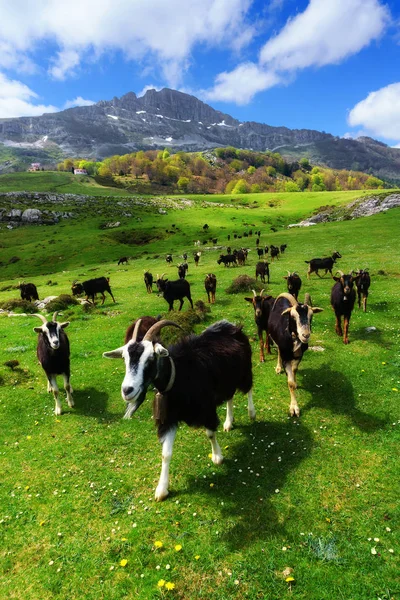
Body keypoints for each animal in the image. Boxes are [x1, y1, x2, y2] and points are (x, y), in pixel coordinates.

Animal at [102, 318, 253, 502]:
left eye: (151, 358)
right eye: (125, 358)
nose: (127, 390)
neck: (178, 376)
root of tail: (230, 325)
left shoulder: (207, 409)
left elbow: (210, 434)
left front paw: (217, 457)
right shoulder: (168, 419)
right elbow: (165, 453)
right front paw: (161, 490)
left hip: (245, 370)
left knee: (249, 388)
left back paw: (252, 413)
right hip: (227, 381)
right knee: (230, 397)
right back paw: (228, 422)